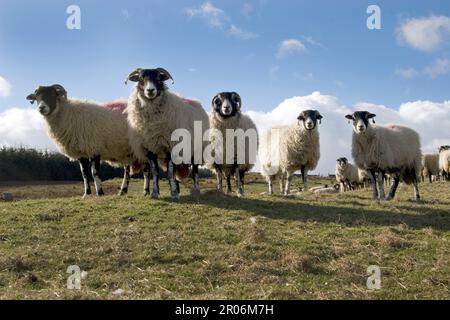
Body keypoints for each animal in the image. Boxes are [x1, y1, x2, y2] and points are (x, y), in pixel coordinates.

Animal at [125, 67, 209, 200]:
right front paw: (155, 192)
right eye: (141, 78)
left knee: (195, 170)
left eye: (159, 77)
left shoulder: (171, 145)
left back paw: (196, 189)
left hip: (196, 150)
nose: (150, 90)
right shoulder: (150, 148)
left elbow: (170, 172)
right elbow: (155, 172)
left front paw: (173, 194)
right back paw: (178, 189)